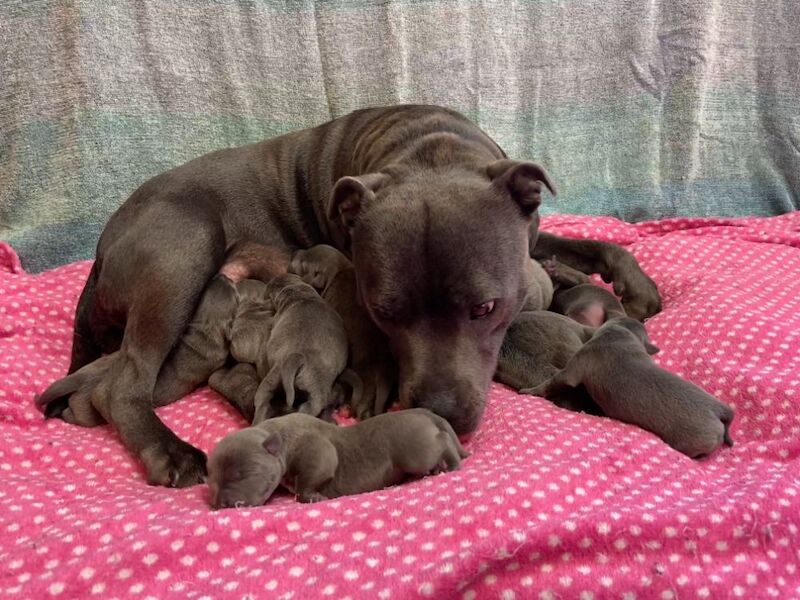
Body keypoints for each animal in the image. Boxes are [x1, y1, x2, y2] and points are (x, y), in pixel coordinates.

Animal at [206, 408, 468, 506]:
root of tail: (424, 412)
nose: (221, 505)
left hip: (416, 450)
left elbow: (310, 478)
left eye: (243, 474)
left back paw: (452, 463)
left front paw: (312, 497)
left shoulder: (318, 451)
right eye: (213, 482)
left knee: (443, 439)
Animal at [253, 274, 354, 424]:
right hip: (316, 385)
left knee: (263, 400)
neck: (299, 294)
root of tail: (297, 356)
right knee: (312, 406)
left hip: (274, 377)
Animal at [528, 316, 736, 458]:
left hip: (693, 441)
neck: (620, 335)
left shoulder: (575, 366)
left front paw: (529, 391)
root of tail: (720, 410)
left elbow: (553, 382)